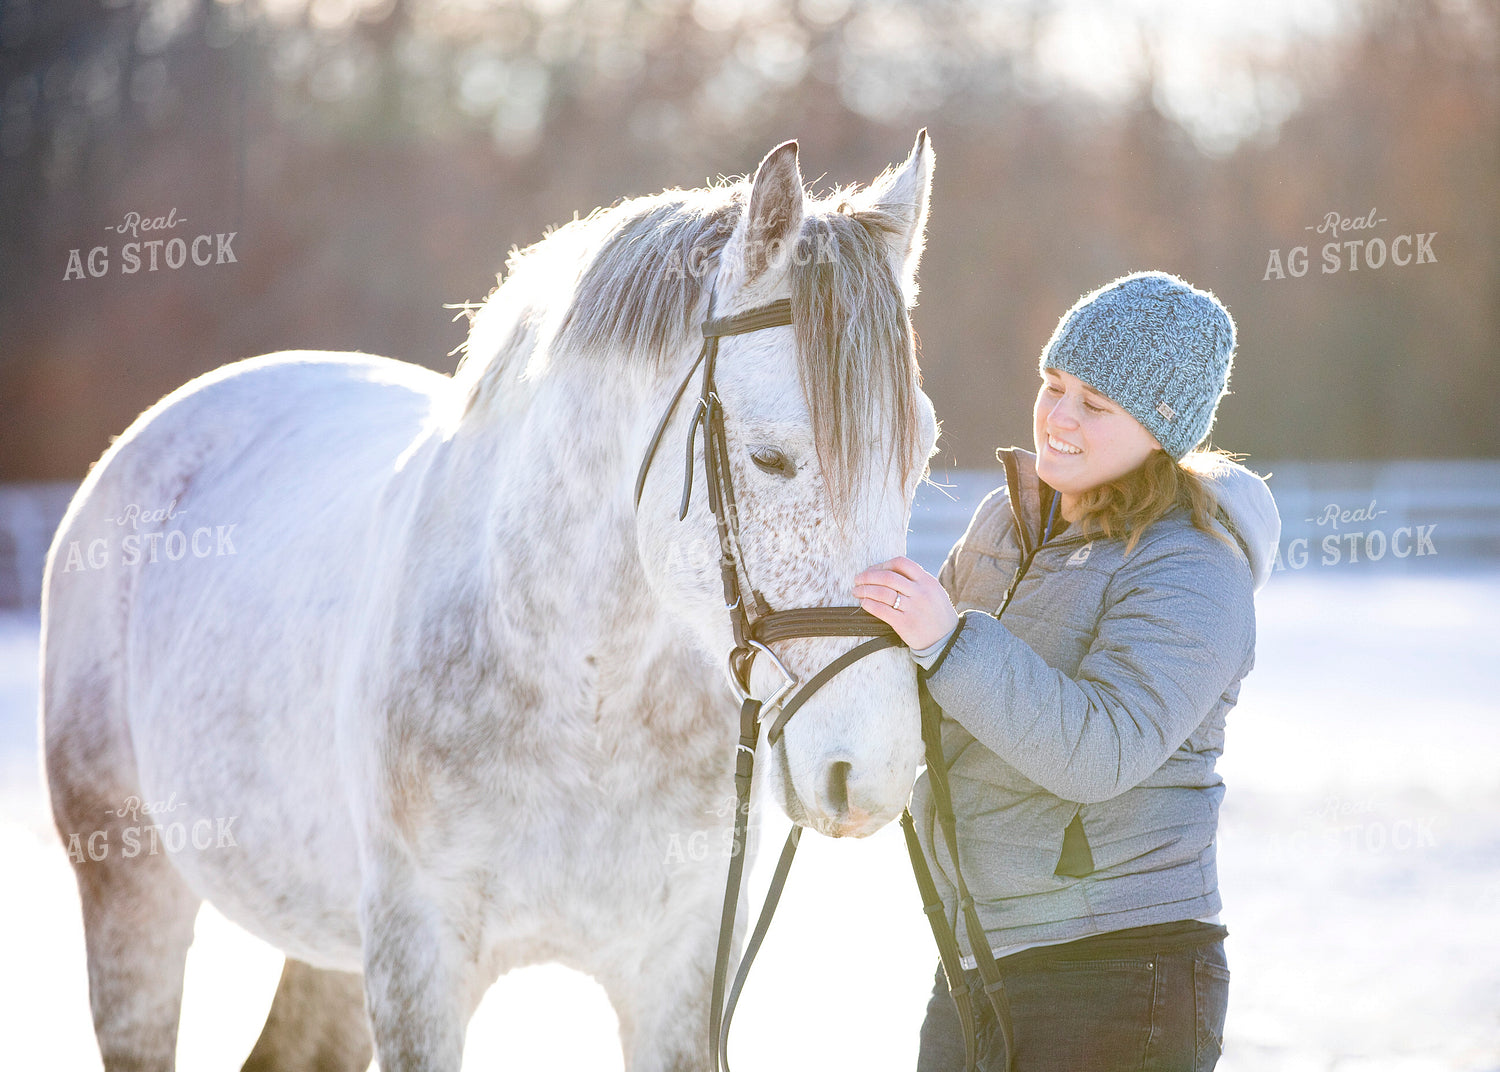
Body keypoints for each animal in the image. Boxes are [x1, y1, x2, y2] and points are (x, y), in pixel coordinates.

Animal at [41, 131, 938, 1072]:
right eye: (770, 459)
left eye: (921, 454)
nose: (872, 770)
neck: (581, 694)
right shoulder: (417, 959)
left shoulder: (678, 970)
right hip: (132, 895)